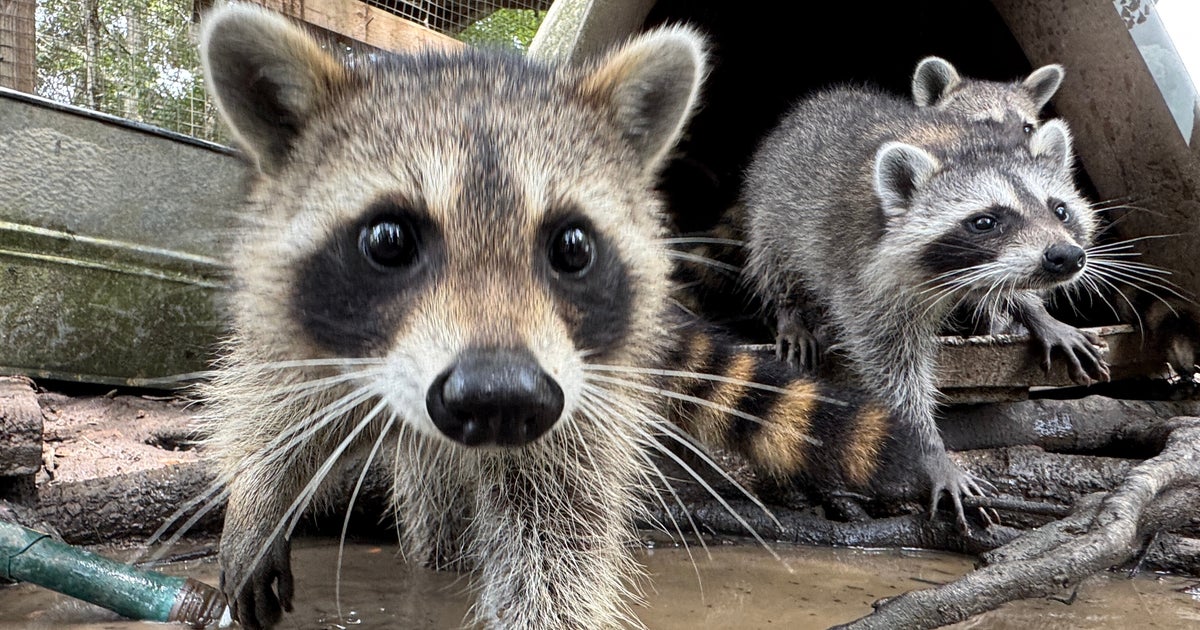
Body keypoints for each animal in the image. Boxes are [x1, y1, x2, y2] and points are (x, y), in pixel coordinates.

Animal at [197, 5, 931, 629]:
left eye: (573, 247)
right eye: (388, 241)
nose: (497, 399)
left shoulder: (577, 398)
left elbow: (556, 537)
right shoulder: (292, 323)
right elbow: (270, 403)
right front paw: (257, 501)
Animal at [742, 85, 1110, 519]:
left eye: (1060, 210)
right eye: (985, 222)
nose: (1066, 257)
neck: (963, 147)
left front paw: (1035, 311)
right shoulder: (864, 276)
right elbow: (893, 369)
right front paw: (928, 448)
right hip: (774, 205)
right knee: (774, 257)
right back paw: (790, 312)